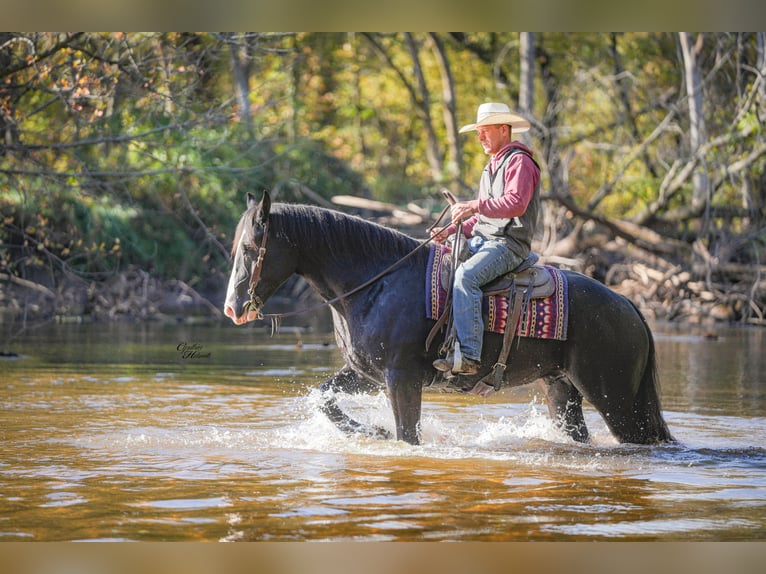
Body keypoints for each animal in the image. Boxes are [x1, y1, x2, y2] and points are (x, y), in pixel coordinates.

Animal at [224, 191, 674, 446]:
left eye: (249, 247)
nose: (232, 307)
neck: (377, 282)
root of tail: (628, 304)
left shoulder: (401, 379)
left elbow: (408, 436)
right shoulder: (366, 373)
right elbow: (323, 399)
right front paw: (372, 433)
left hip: (613, 396)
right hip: (562, 390)